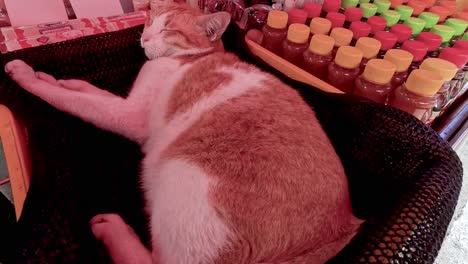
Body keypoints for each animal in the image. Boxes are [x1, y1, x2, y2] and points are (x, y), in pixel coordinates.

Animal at [2, 1, 362, 262]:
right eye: (149, 20)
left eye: (169, 29)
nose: (145, 38)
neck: (191, 57)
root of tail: (337, 234)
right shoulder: (124, 102)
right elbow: (83, 91)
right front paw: (57, 79)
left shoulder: (127, 115)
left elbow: (71, 99)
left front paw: (26, 75)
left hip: (181, 173)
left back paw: (112, 229)